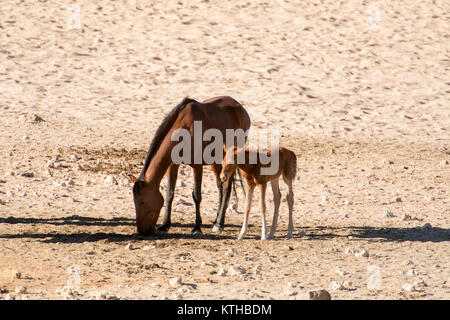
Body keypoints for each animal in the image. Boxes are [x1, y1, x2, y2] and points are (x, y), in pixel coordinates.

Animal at [128, 95, 251, 235]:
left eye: (142, 202)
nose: (142, 231)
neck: (184, 131)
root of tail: (241, 109)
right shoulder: (172, 165)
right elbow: (169, 194)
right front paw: (165, 225)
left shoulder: (197, 166)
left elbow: (196, 196)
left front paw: (197, 227)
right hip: (215, 161)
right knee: (221, 185)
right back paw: (216, 220)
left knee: (226, 186)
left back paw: (219, 223)